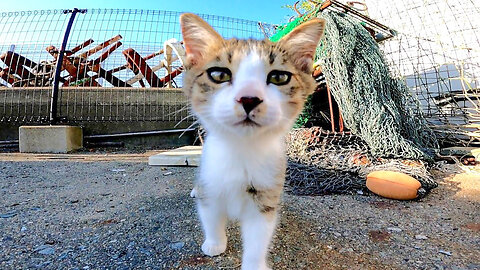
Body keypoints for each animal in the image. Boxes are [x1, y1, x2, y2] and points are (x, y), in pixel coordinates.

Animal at [181, 13, 326, 270]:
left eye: (279, 77)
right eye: (219, 75)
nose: (249, 98)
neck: (242, 148)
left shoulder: (267, 189)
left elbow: (259, 234)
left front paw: (254, 263)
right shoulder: (211, 179)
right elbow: (210, 215)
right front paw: (215, 244)